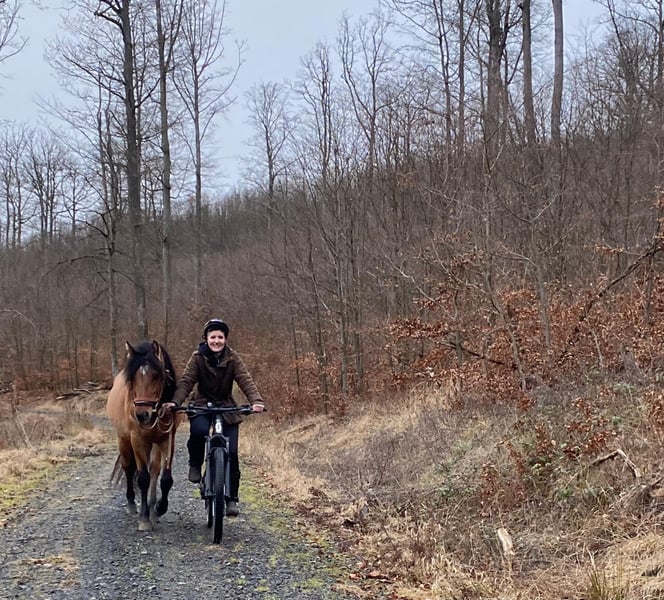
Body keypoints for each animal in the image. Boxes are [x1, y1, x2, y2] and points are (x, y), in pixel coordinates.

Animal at [106, 339, 181, 531]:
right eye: (132, 379)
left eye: (156, 375)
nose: (142, 415)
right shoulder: (138, 440)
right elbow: (142, 478)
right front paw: (144, 519)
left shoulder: (167, 439)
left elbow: (165, 478)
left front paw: (159, 508)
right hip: (124, 440)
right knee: (128, 467)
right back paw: (133, 504)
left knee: (154, 469)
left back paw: (152, 509)